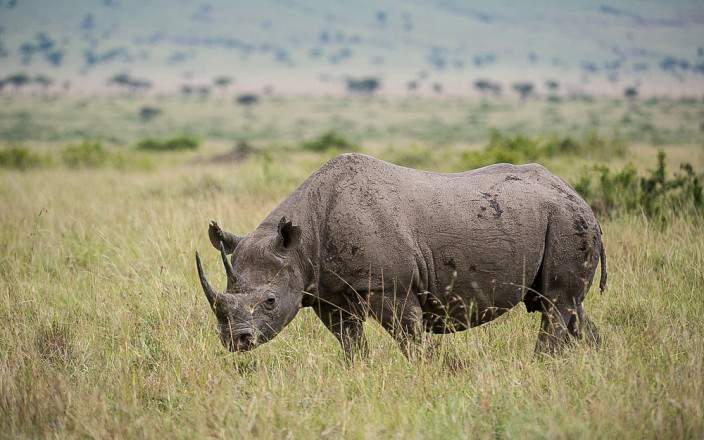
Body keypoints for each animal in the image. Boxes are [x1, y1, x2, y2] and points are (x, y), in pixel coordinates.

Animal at [195, 153, 606, 359]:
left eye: (269, 301)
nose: (236, 341)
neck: (301, 241)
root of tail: (579, 197)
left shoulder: (391, 288)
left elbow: (410, 340)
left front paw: (423, 375)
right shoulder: (327, 293)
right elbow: (350, 342)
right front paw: (359, 374)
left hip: (566, 220)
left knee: (555, 304)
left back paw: (543, 364)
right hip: (560, 219)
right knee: (570, 306)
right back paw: (591, 364)